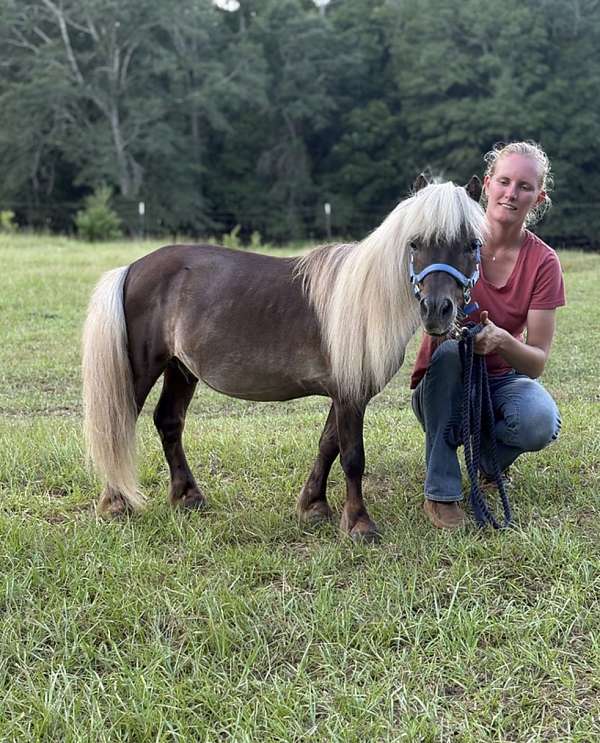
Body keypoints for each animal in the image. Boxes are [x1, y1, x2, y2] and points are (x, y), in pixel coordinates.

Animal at [82, 175, 485, 541]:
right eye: (415, 243)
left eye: (472, 244)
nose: (437, 310)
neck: (363, 300)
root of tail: (132, 269)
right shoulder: (350, 395)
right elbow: (353, 457)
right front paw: (359, 525)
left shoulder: (344, 394)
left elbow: (328, 445)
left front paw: (314, 507)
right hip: (143, 369)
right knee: (118, 424)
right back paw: (116, 503)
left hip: (180, 369)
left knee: (168, 422)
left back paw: (188, 497)